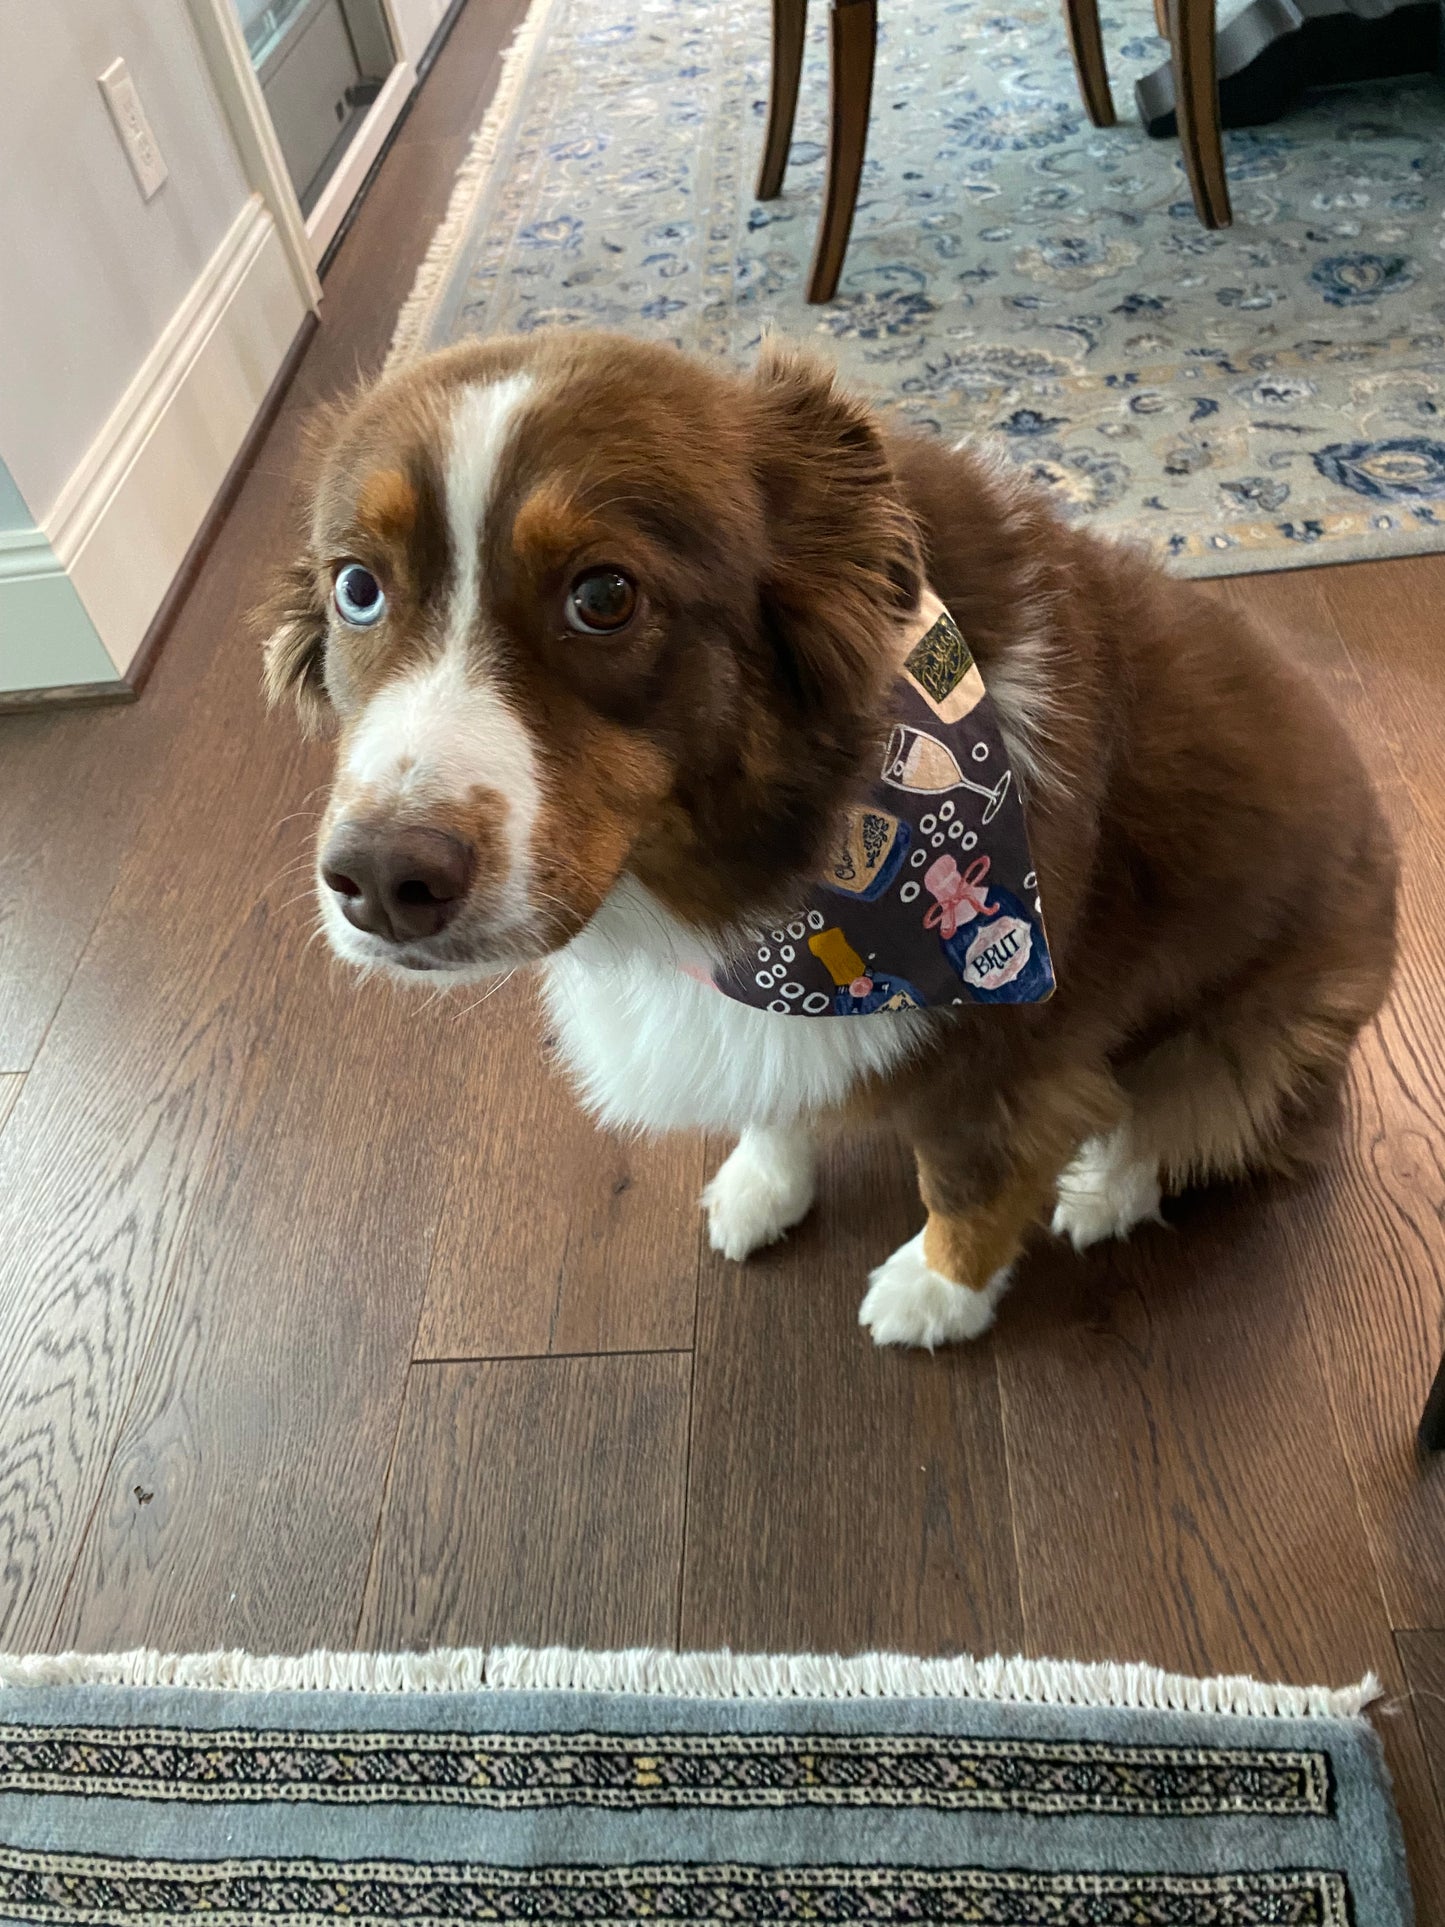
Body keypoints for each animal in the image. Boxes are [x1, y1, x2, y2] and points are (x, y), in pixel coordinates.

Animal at [263, 331, 1402, 1348]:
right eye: (356, 587)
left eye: (603, 595)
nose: (382, 881)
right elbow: (771, 1086)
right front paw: (763, 1181)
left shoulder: (1010, 1048)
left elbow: (968, 1180)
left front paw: (937, 1293)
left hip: (1264, 1022)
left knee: (1201, 1114)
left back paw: (1107, 1187)